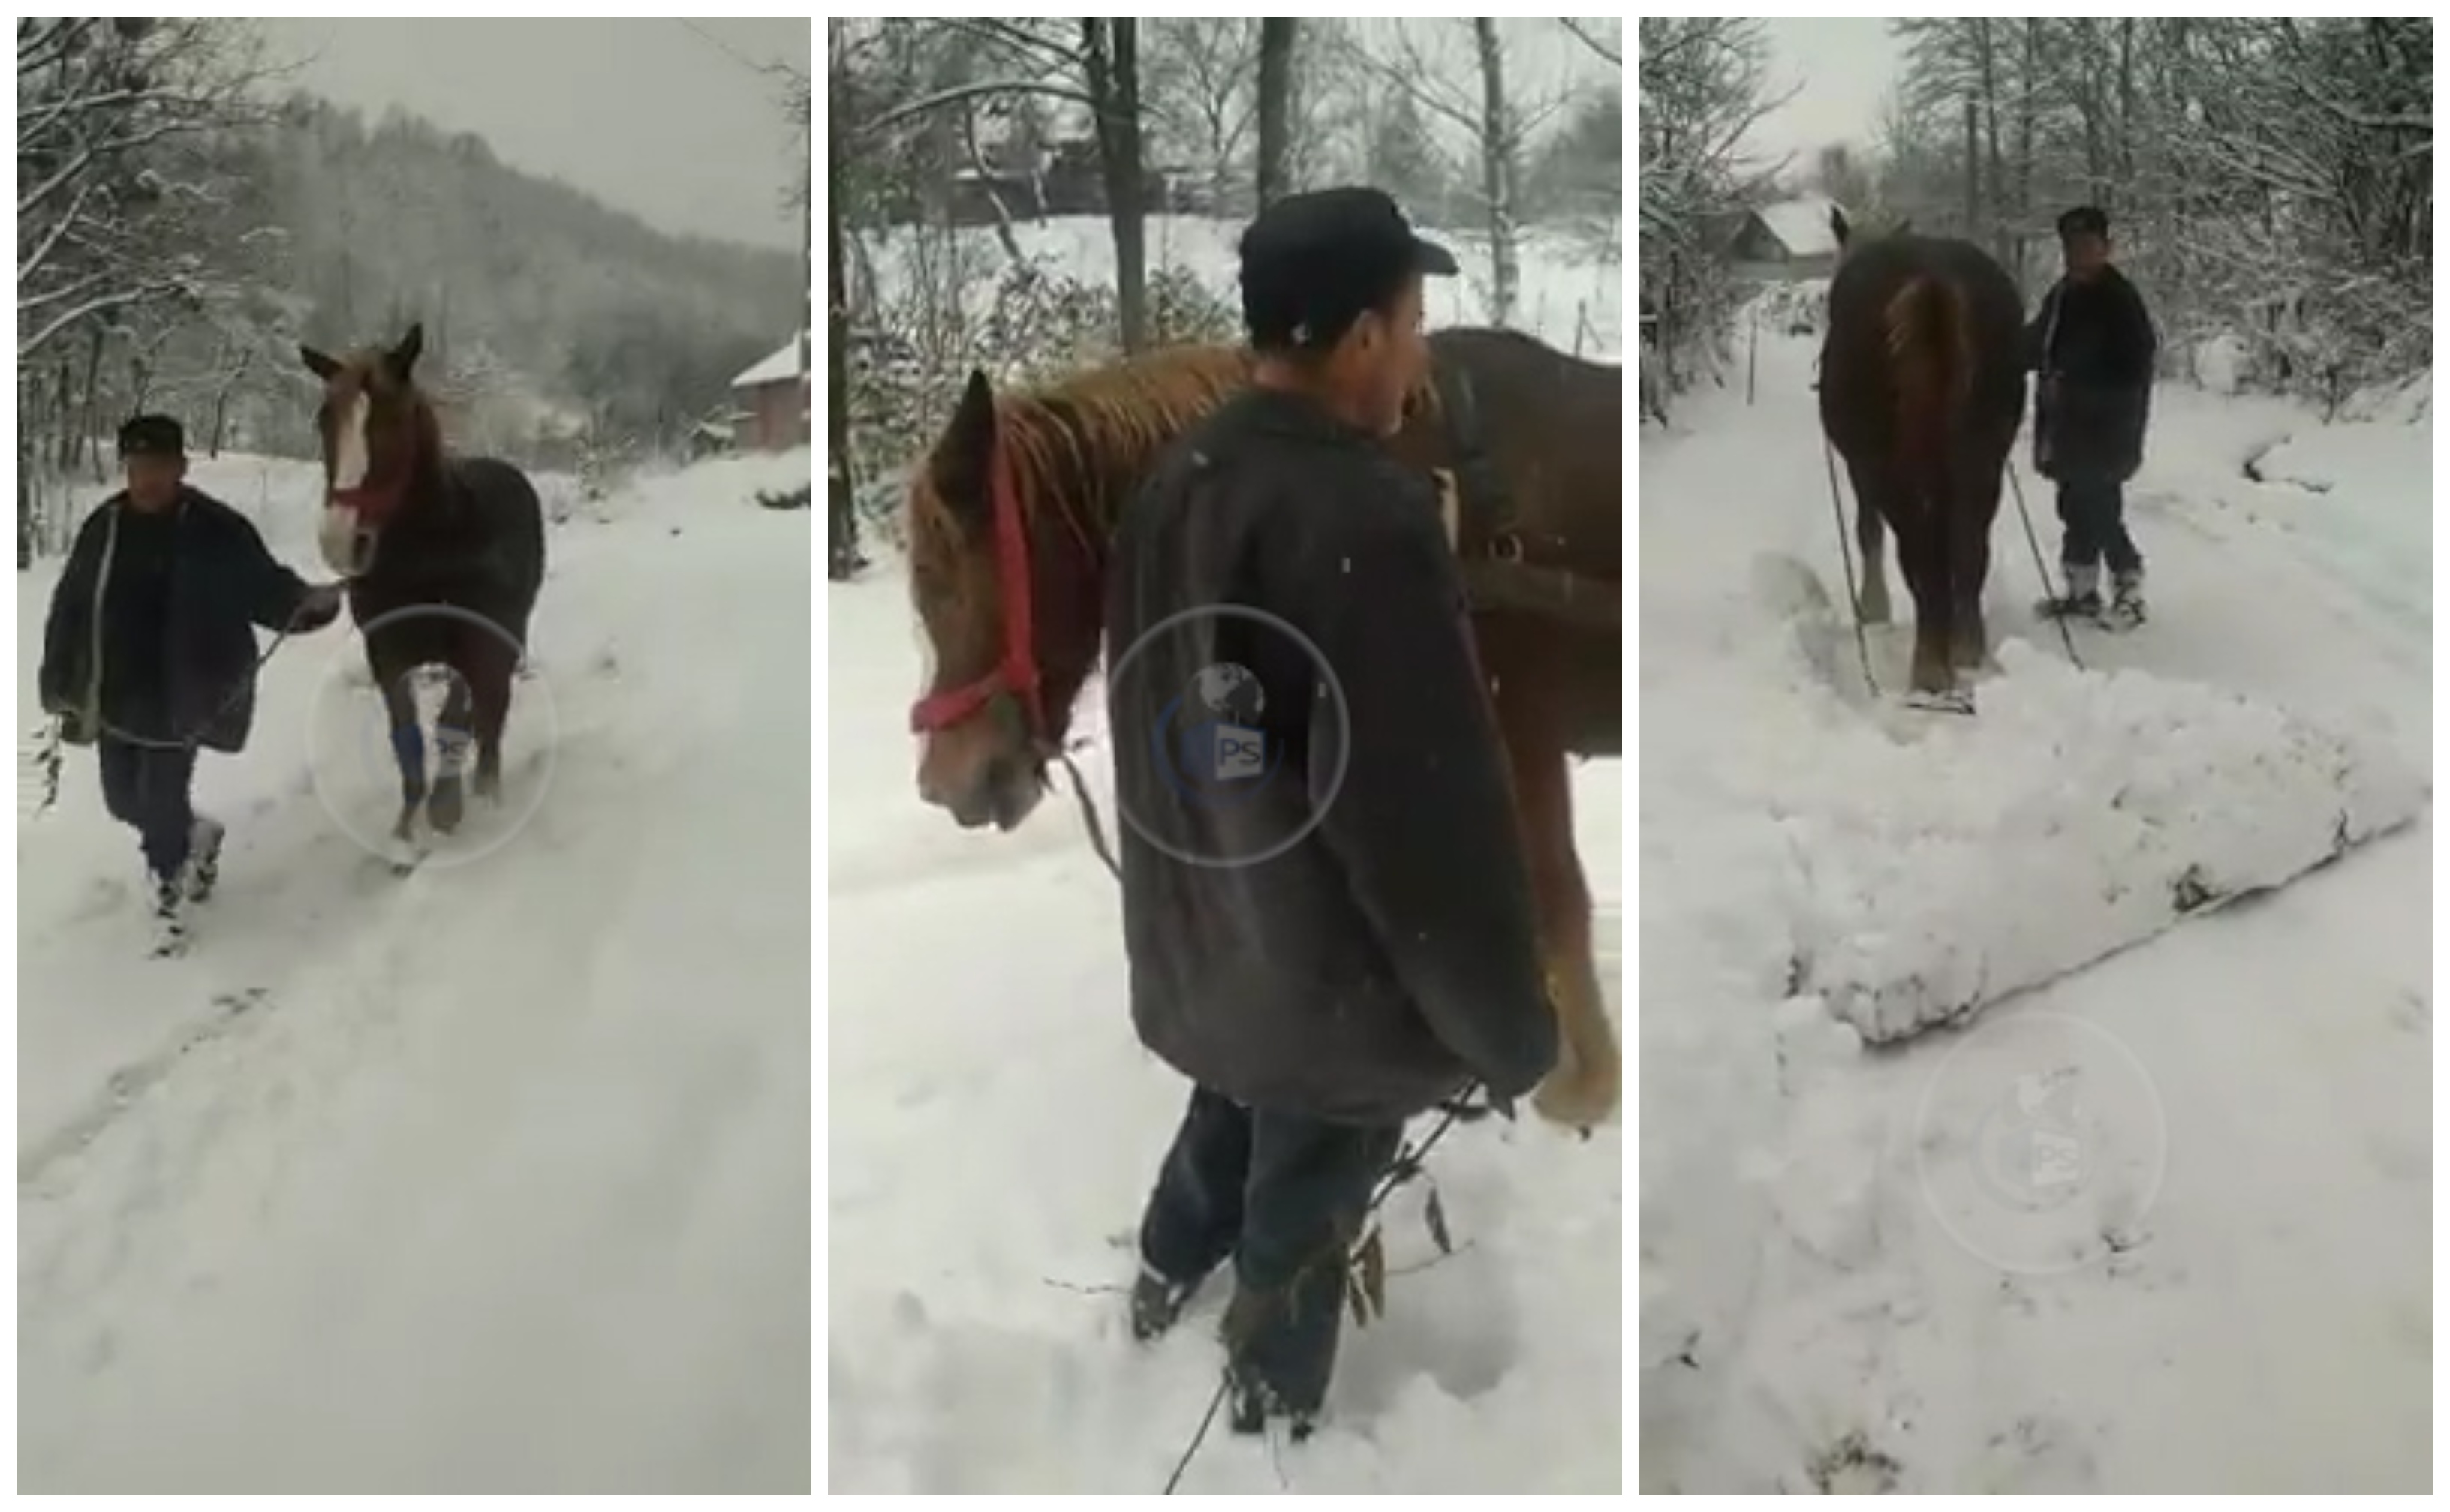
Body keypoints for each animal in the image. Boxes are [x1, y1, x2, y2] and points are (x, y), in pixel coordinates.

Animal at [299, 323, 548, 845]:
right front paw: (405, 825)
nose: (341, 541)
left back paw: (488, 787)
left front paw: (446, 808)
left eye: (395, 420)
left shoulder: (475, 646)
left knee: (493, 710)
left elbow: (454, 721)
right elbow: (406, 735)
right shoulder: (387, 656)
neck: (435, 551)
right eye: (324, 419)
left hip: (507, 636)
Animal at [1818, 208, 2027, 706]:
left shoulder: (1861, 467)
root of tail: (1935, 282)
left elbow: (1867, 530)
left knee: (1920, 552)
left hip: (1893, 470)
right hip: (1983, 458)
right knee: (1970, 545)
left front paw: (1872, 605)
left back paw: (1930, 668)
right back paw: (1966, 646)